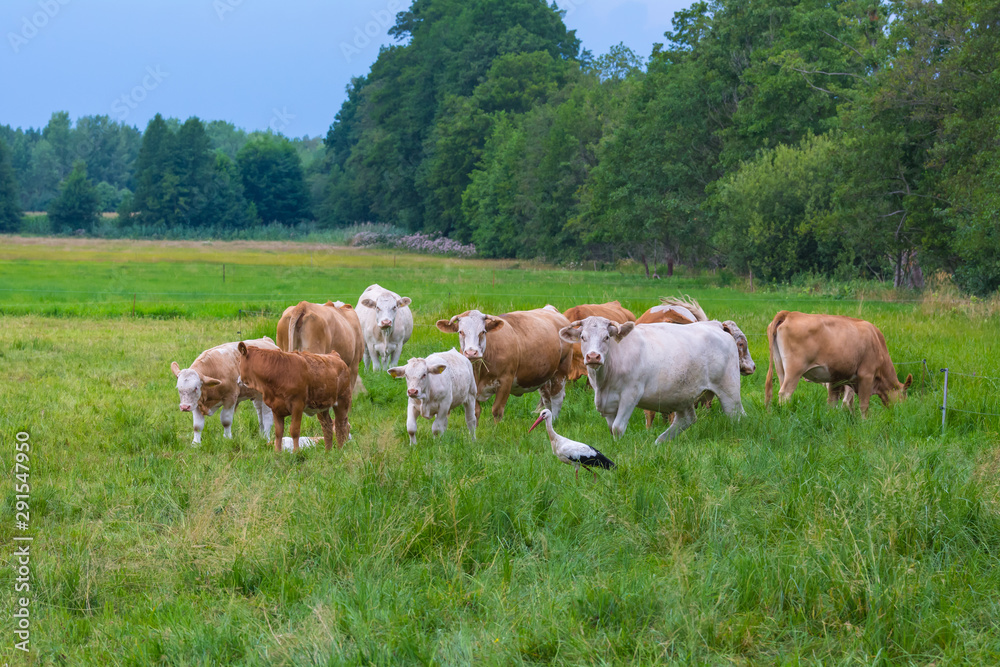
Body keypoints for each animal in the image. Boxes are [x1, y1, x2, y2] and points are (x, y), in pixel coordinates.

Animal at [436, 306, 572, 420]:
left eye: (483, 332)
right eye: (460, 332)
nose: (471, 353)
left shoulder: (506, 381)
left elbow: (497, 411)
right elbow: (476, 411)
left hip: (561, 371)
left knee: (557, 398)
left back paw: (554, 421)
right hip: (544, 375)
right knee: (547, 398)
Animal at [560, 318, 748, 444]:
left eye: (606, 337)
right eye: (582, 337)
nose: (593, 356)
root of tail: (714, 324)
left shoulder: (631, 394)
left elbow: (617, 428)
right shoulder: (607, 403)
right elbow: (611, 429)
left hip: (729, 389)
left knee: (737, 416)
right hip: (681, 393)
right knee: (686, 419)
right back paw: (659, 443)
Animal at [764, 310, 916, 414]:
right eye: (904, 395)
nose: (901, 413)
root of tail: (789, 313)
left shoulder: (836, 379)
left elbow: (834, 403)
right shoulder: (866, 375)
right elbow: (863, 404)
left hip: (780, 367)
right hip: (794, 370)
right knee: (785, 394)